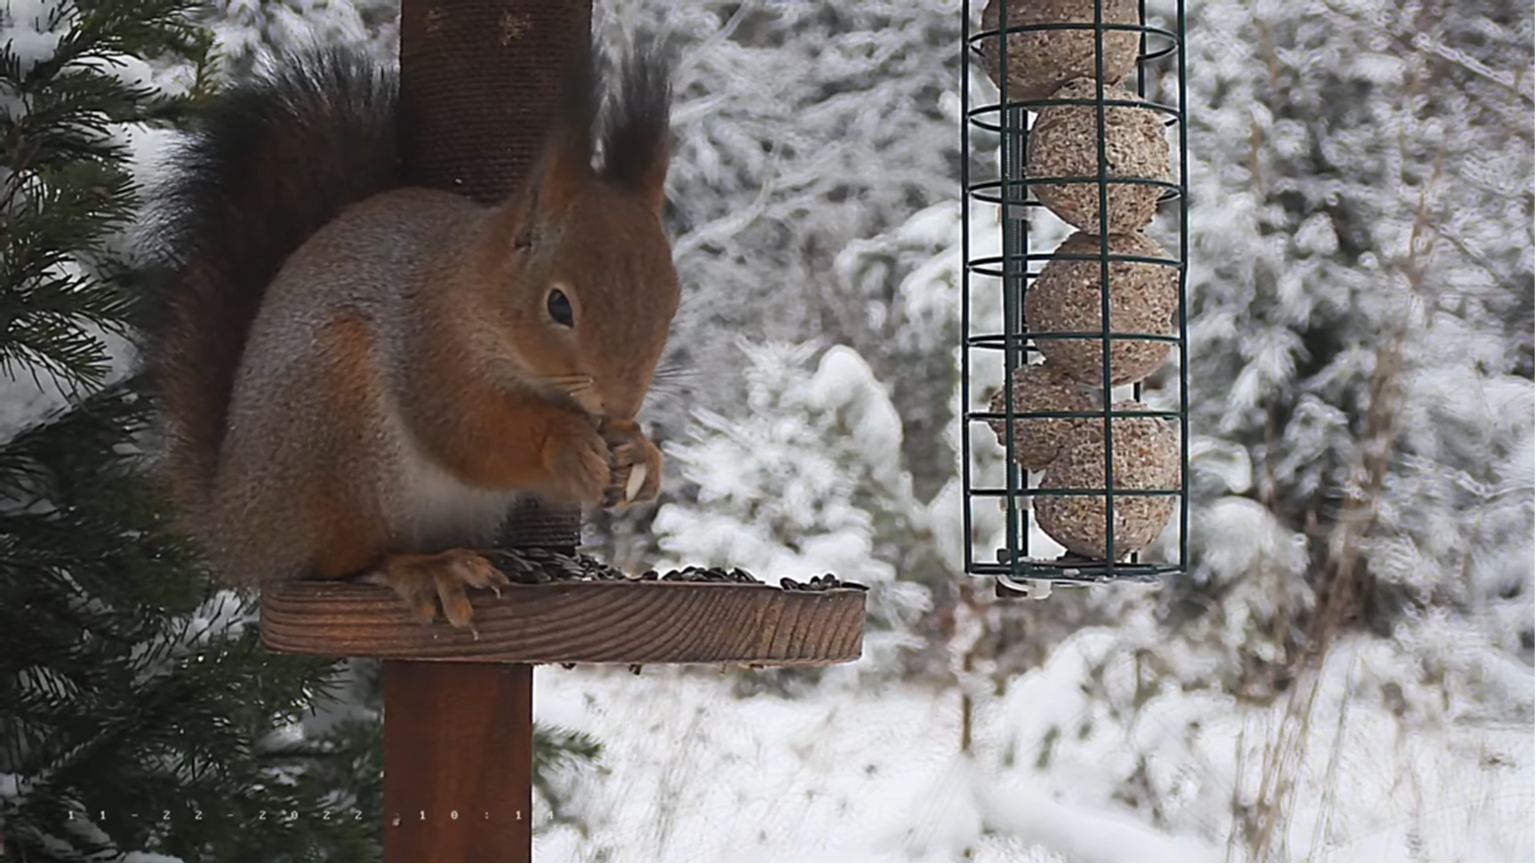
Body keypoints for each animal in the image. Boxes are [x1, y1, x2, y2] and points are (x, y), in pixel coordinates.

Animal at [145, 45, 678, 624]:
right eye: (559, 304)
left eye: (672, 300)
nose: (620, 403)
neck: (478, 294)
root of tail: (236, 531)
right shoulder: (429, 348)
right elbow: (466, 432)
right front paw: (565, 442)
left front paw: (640, 455)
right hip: (336, 420)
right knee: (345, 564)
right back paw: (425, 568)